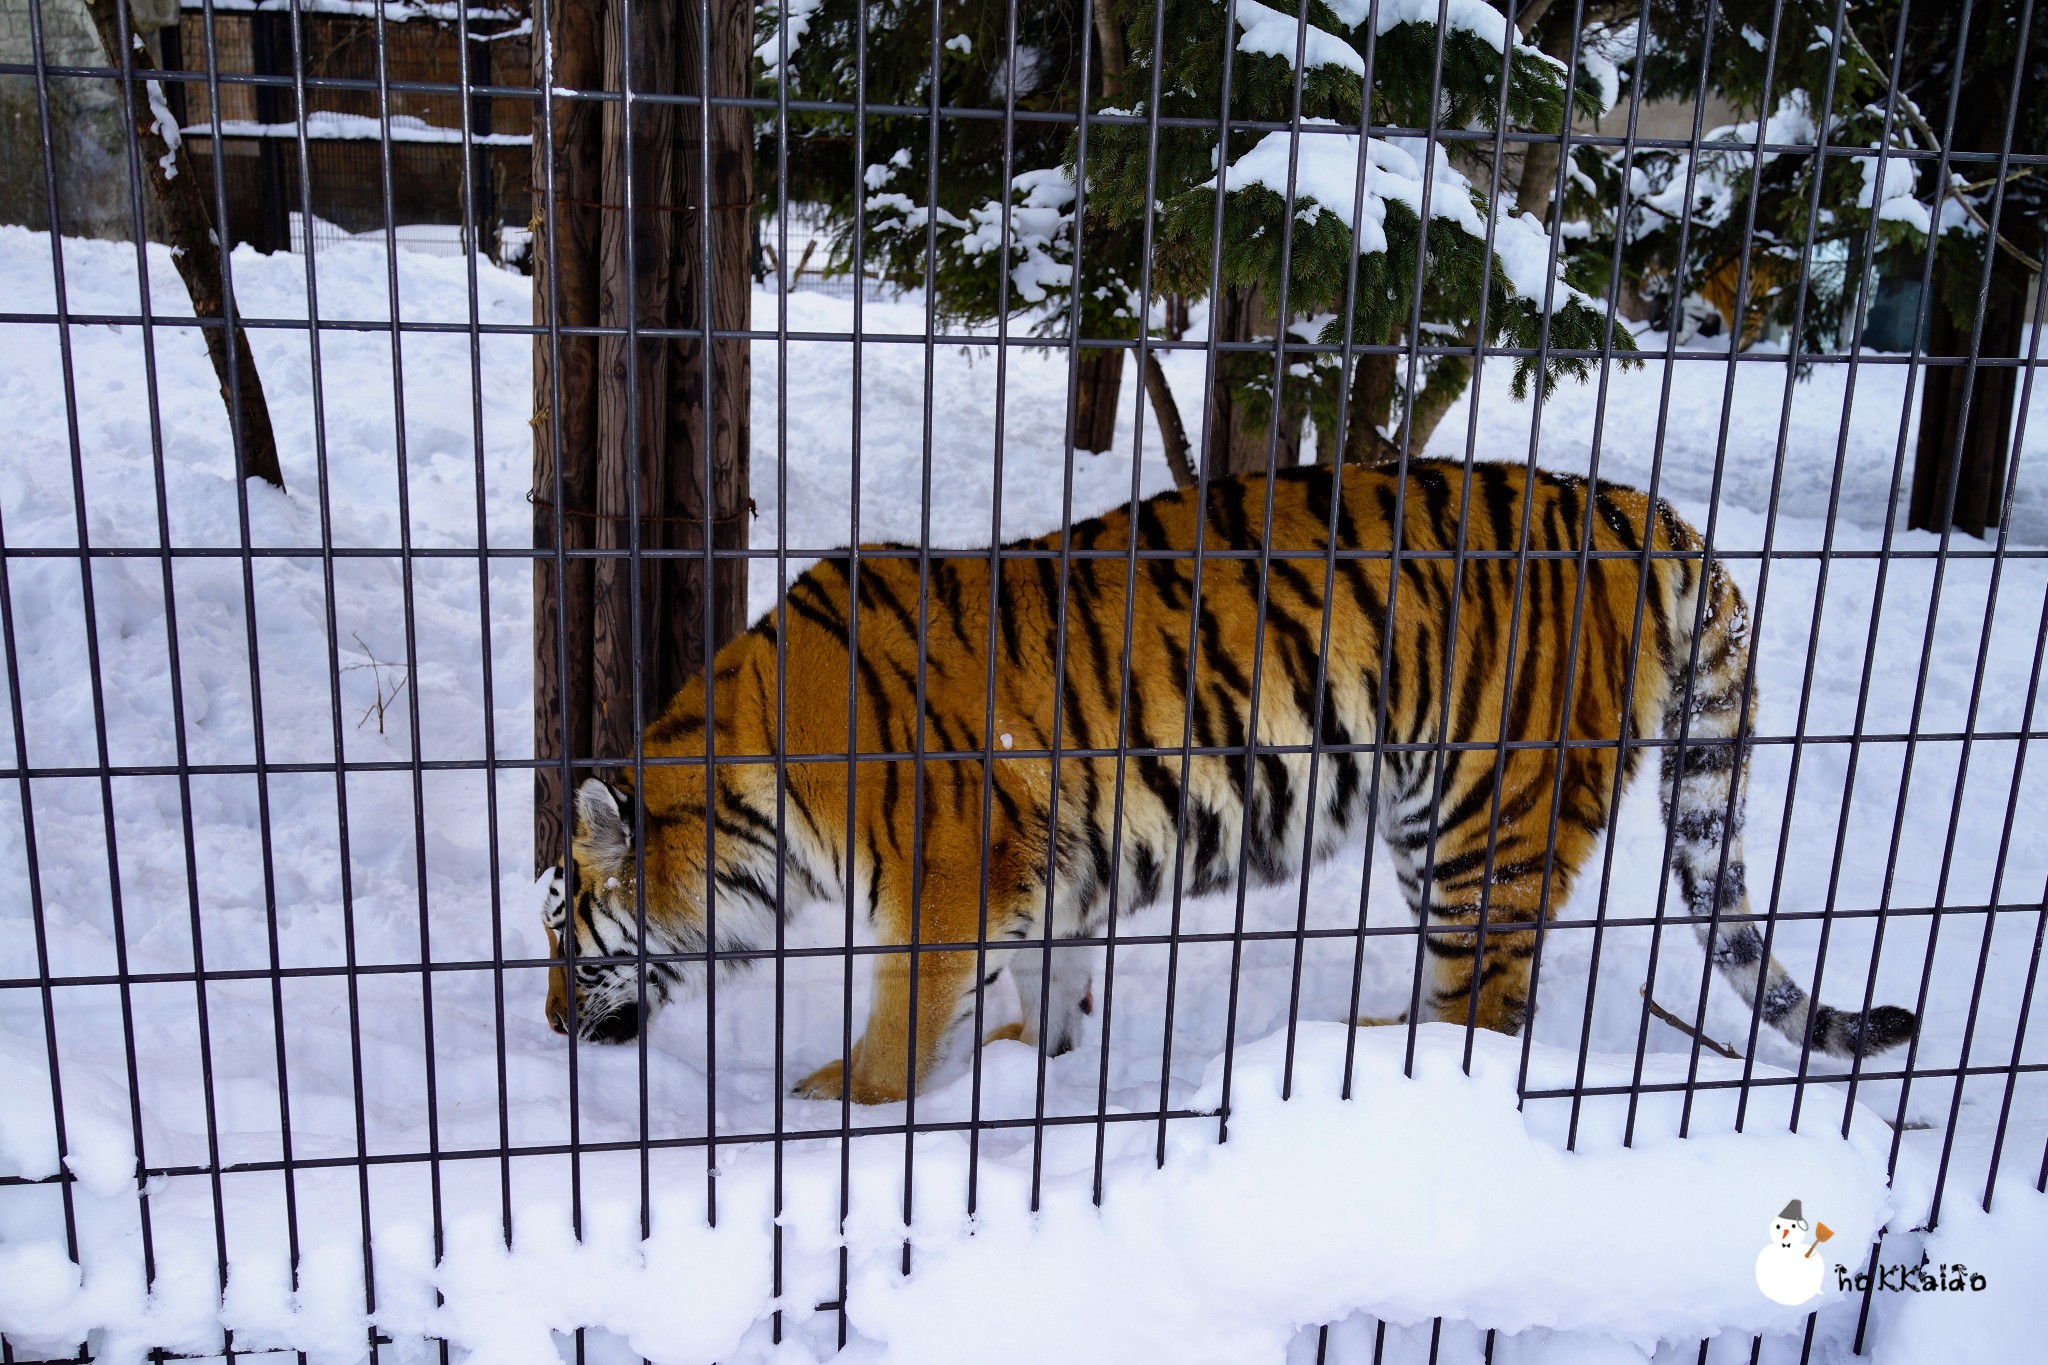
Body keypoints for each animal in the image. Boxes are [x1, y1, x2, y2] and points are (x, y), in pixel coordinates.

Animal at [536, 458, 1908, 1096]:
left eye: (560, 927)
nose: (546, 1024)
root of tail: (1641, 509)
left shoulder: (945, 875)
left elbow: (899, 1017)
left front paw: (848, 1103)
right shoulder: (1050, 869)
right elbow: (1048, 979)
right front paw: (1036, 1063)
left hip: (1483, 818)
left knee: (1485, 1009)